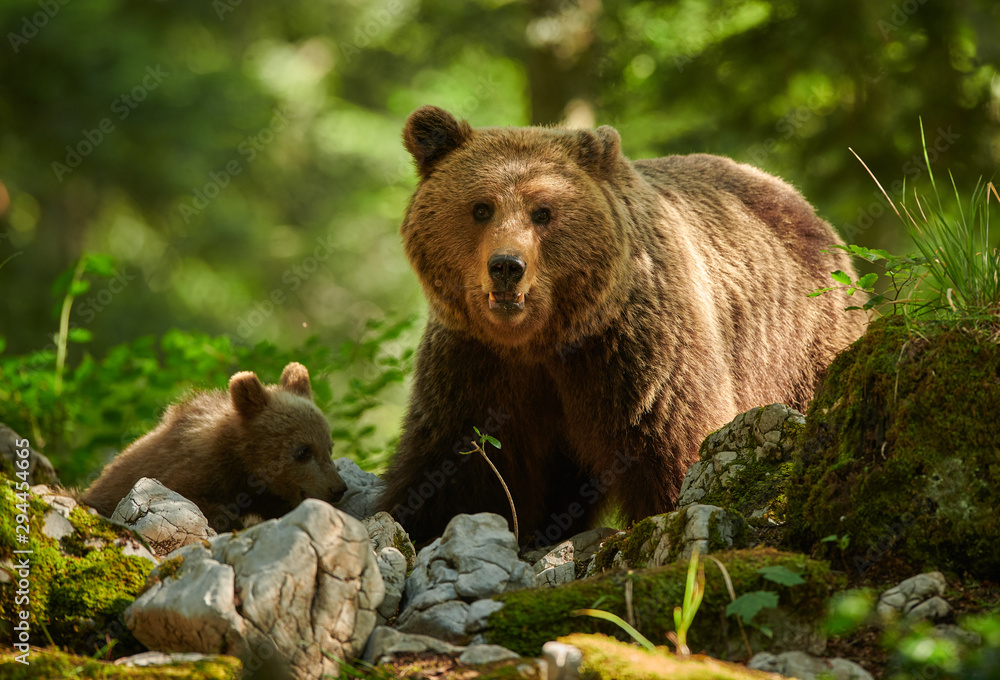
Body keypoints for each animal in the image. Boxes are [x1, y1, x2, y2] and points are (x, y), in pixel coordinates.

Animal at [378, 103, 864, 544]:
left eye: (543, 211)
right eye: (481, 208)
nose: (506, 266)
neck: (542, 339)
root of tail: (796, 198)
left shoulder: (634, 351)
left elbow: (673, 445)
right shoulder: (475, 362)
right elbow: (452, 465)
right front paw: (409, 522)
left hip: (801, 340)